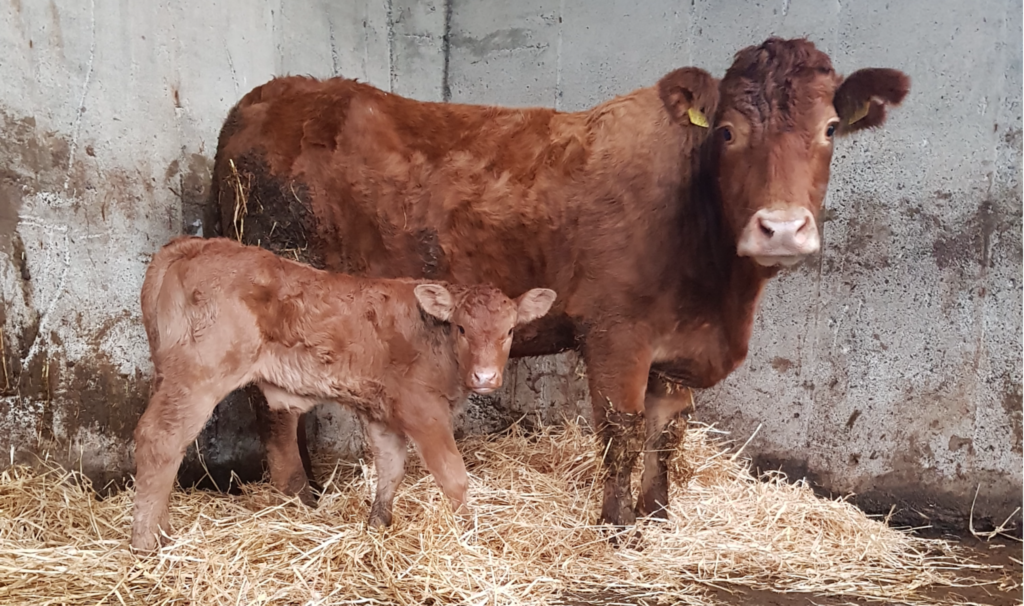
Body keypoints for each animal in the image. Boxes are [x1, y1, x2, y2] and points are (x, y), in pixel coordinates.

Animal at [130, 236, 557, 552]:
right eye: (462, 328)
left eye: (509, 331)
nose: (485, 376)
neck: (433, 339)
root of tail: (193, 245)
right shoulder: (422, 409)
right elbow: (454, 476)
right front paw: (472, 535)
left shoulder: (383, 413)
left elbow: (391, 469)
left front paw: (378, 526)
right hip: (199, 375)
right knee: (160, 440)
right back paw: (147, 542)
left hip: (170, 374)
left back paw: (162, 530)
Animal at [207, 37, 910, 532]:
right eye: (729, 132)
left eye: (829, 130)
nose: (782, 228)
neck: (721, 297)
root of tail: (273, 94)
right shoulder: (616, 335)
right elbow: (623, 432)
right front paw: (617, 527)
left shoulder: (677, 348)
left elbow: (668, 433)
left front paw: (659, 515)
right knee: (271, 405)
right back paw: (297, 497)